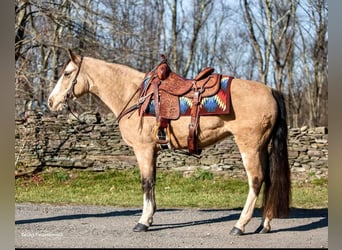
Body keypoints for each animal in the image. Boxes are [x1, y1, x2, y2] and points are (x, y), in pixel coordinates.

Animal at [48, 49, 292, 235]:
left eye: (67, 73)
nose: (51, 101)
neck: (135, 95)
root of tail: (271, 90)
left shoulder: (143, 149)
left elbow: (146, 183)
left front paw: (143, 222)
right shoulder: (153, 150)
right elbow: (152, 182)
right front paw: (149, 218)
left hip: (250, 147)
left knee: (256, 181)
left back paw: (240, 225)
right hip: (262, 147)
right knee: (269, 181)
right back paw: (264, 224)